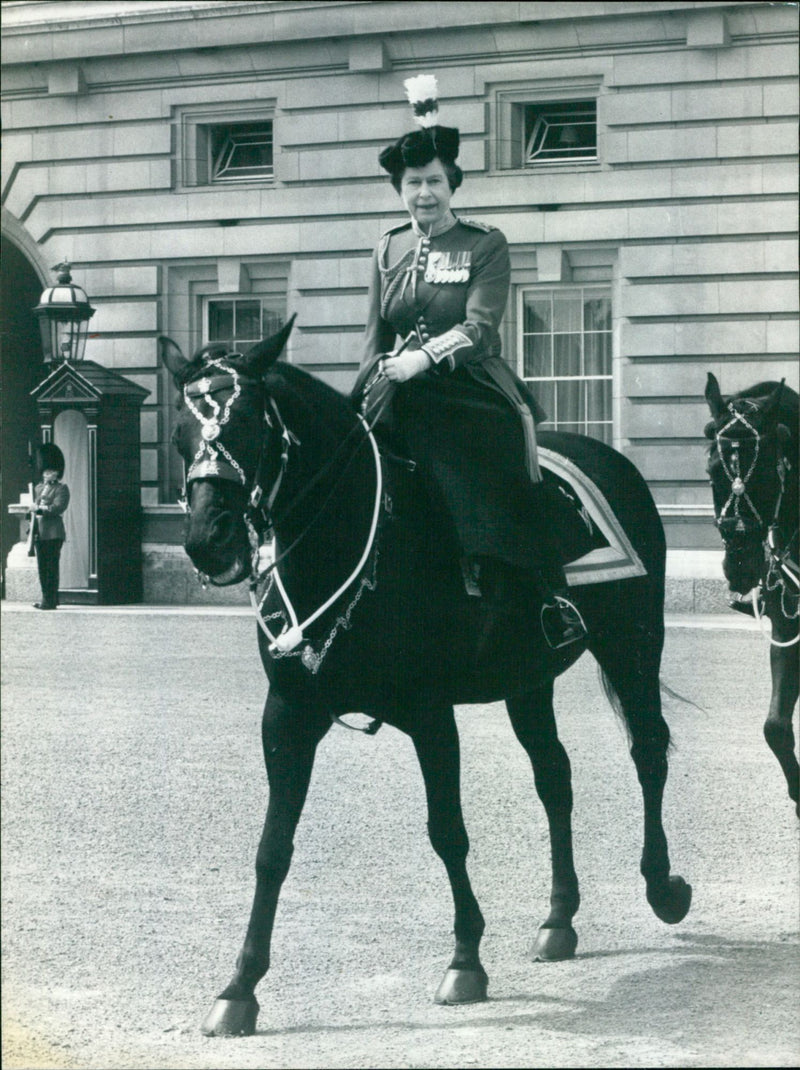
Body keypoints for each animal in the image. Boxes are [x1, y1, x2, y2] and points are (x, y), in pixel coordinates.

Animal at [159, 323, 688, 1035]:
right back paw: (558, 919)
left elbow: (448, 834)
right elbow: (273, 848)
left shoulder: (430, 715)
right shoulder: (289, 714)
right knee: (554, 777)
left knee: (648, 751)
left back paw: (663, 887)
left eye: (245, 424)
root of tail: (610, 459)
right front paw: (240, 988)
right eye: (179, 434)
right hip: (529, 679)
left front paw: (465, 960)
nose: (208, 542)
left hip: (632, 643)